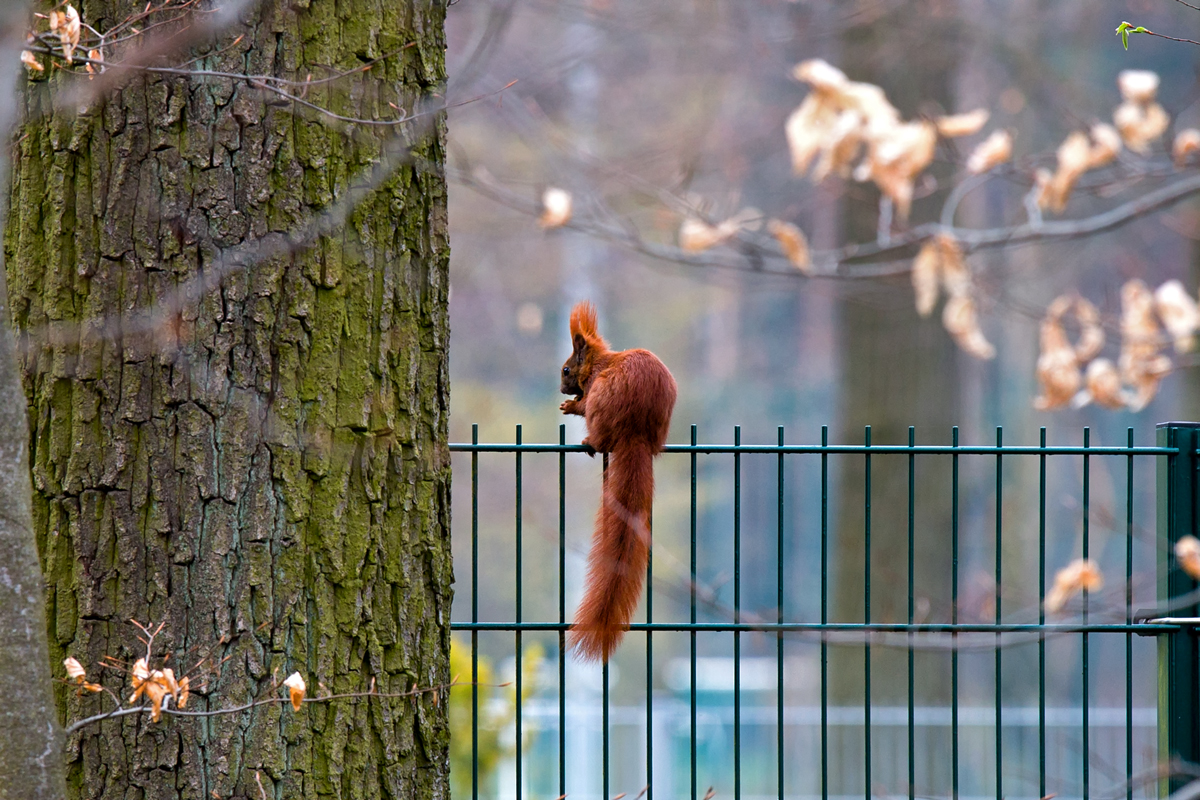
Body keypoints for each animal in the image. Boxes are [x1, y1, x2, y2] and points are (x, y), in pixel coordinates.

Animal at [559, 302, 676, 662]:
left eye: (566, 370)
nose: (562, 389)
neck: (597, 361)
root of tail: (635, 433)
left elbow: (582, 405)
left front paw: (570, 405)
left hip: (602, 407)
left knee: (598, 434)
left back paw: (589, 441)